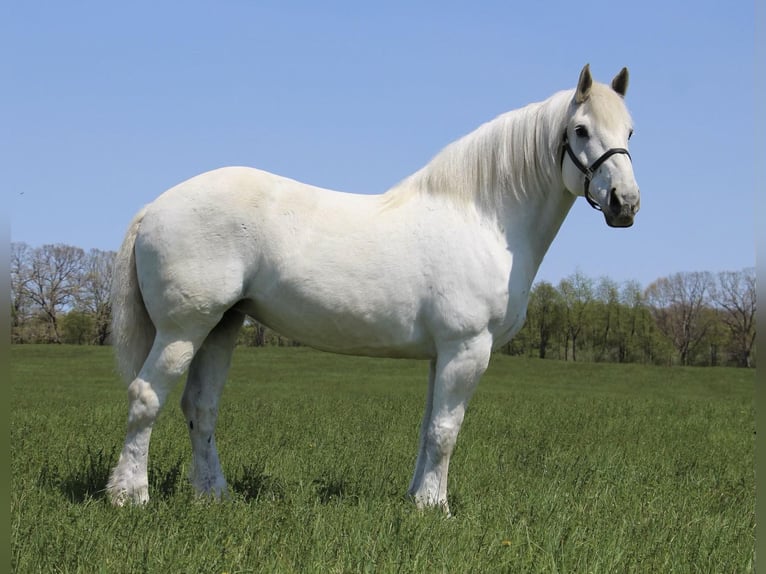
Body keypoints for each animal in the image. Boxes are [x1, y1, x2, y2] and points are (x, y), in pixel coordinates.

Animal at [105, 64, 640, 512]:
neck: (484, 219)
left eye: (630, 131)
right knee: (146, 398)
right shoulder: (467, 348)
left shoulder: (442, 354)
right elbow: (446, 431)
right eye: (581, 130)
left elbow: (428, 428)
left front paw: (418, 500)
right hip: (182, 330)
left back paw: (215, 495)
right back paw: (130, 496)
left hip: (222, 326)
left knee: (201, 407)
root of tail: (155, 206)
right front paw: (437, 509)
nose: (626, 203)